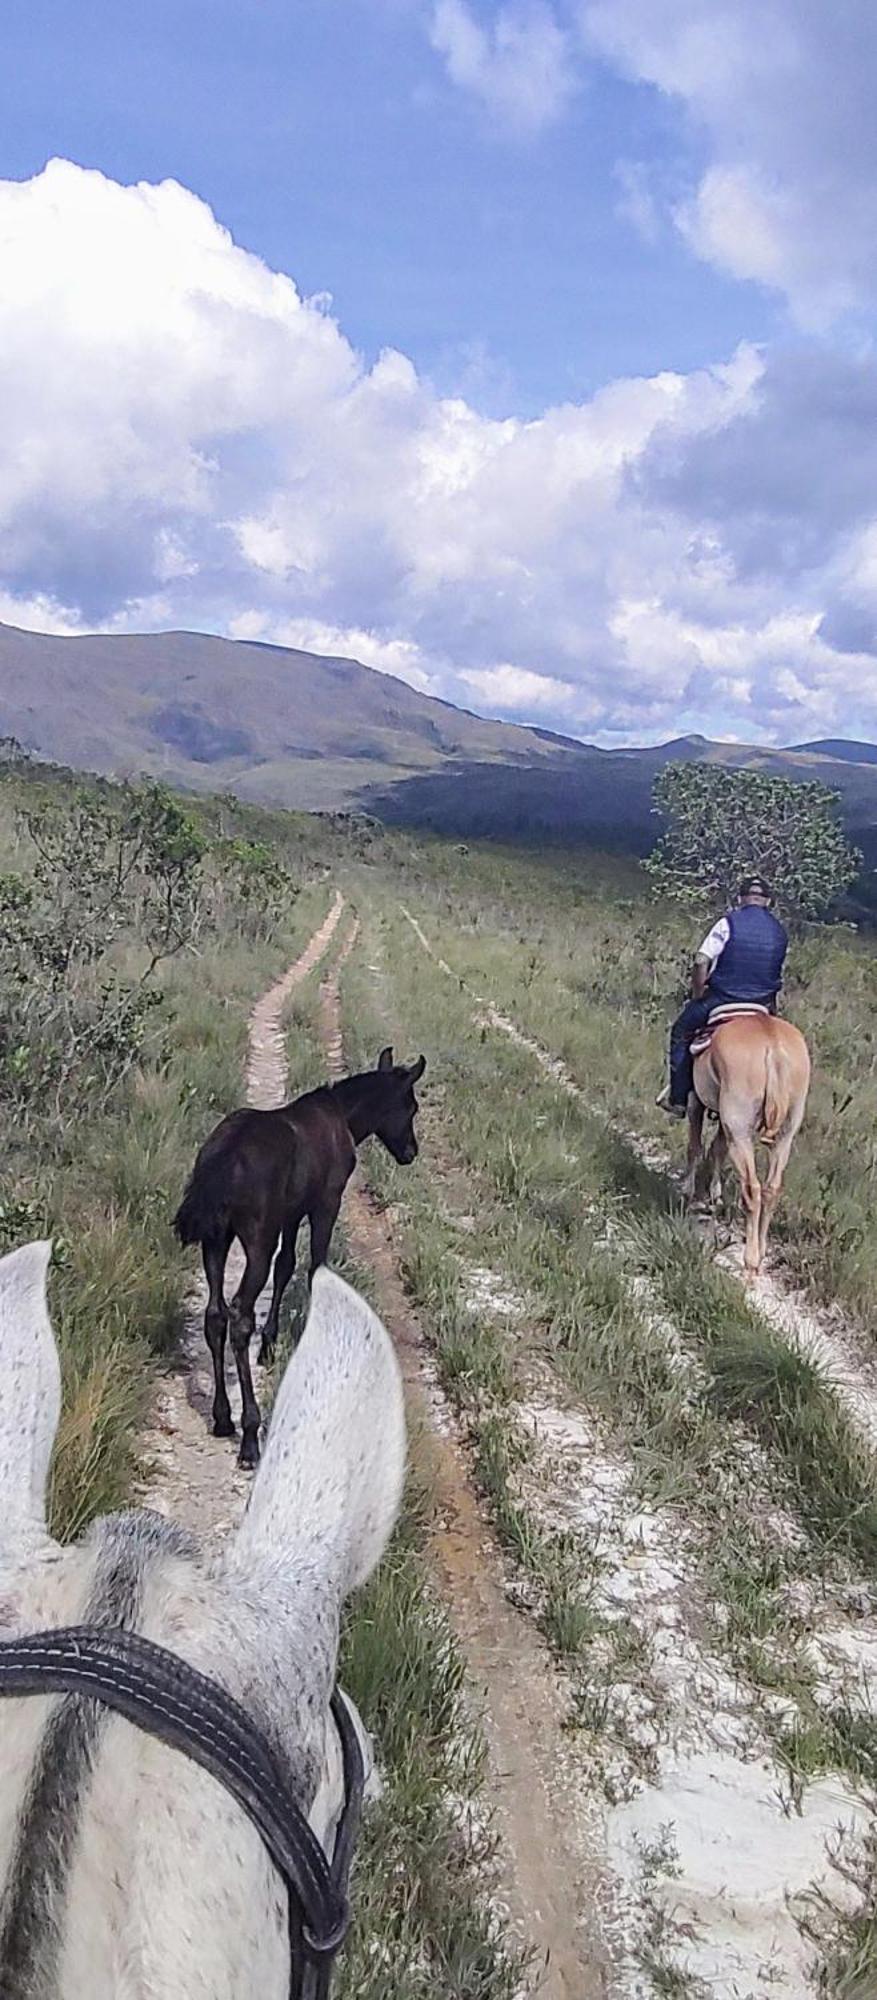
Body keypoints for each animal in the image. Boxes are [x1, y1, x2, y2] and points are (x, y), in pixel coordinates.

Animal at [680, 1008, 812, 1272]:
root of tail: (774, 1050)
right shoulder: (723, 1119)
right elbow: (716, 1149)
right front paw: (715, 1196)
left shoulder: (696, 1101)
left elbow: (695, 1147)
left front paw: (688, 1191)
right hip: (784, 1134)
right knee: (771, 1188)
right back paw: (760, 1251)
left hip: (739, 1130)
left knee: (752, 1188)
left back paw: (750, 1260)